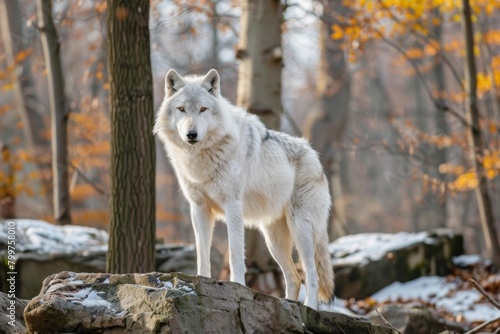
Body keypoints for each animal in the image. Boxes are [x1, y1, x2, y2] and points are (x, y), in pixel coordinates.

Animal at [152, 69, 332, 310]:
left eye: (203, 109)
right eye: (181, 109)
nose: (191, 134)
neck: (201, 159)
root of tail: (314, 155)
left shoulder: (233, 206)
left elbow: (236, 254)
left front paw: (237, 286)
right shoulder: (199, 208)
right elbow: (202, 253)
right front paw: (202, 282)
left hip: (301, 229)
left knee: (312, 276)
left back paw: (309, 309)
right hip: (273, 241)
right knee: (294, 277)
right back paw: (288, 305)